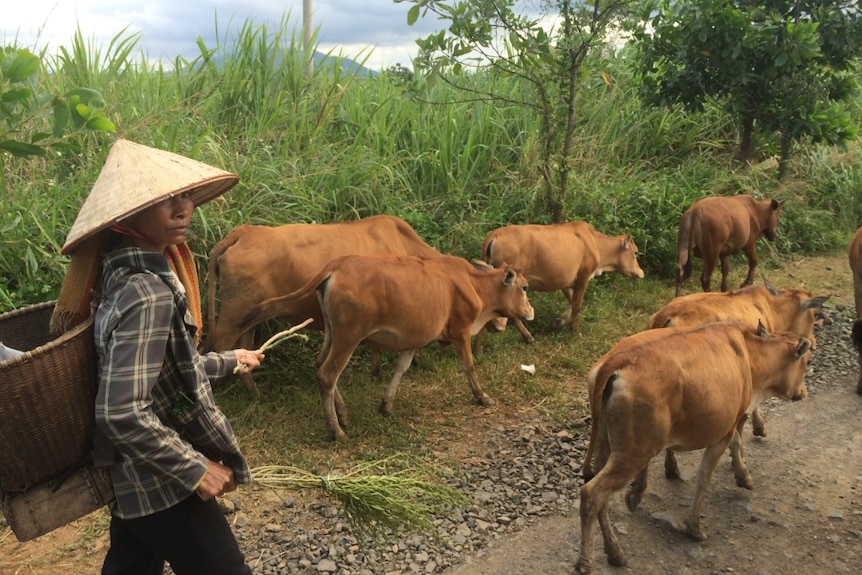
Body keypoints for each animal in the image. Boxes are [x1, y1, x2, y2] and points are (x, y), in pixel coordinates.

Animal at [241, 253, 532, 440]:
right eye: (525, 287)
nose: (530, 312)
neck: (473, 283)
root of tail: (336, 266)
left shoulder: (414, 338)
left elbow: (401, 368)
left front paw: (386, 404)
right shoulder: (460, 331)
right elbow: (469, 366)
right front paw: (482, 397)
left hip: (332, 332)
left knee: (319, 364)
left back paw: (342, 413)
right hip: (349, 336)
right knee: (327, 374)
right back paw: (336, 431)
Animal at [576, 322, 812, 572]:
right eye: (807, 361)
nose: (804, 392)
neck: (750, 354)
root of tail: (616, 360)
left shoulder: (729, 423)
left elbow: (736, 443)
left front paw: (744, 476)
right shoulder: (723, 431)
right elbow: (704, 477)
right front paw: (694, 527)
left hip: (606, 443)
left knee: (600, 495)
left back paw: (615, 552)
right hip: (632, 453)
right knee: (592, 493)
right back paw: (585, 563)